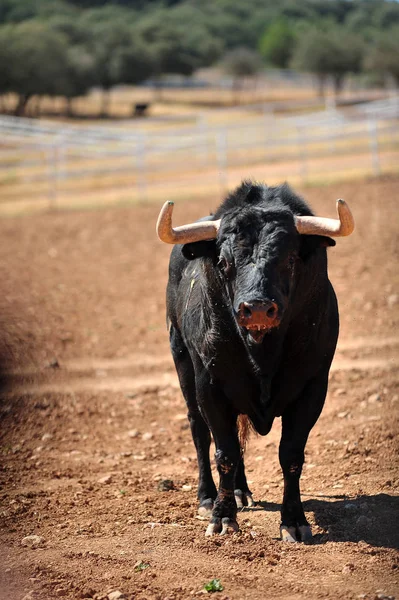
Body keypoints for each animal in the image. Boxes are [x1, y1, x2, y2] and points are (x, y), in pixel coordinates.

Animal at [162, 180, 354, 540]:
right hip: (182, 364)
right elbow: (223, 452)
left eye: (290, 258)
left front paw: (294, 521)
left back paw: (241, 492)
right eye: (223, 262)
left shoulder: (313, 386)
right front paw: (222, 517)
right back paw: (208, 497)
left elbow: (290, 455)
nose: (258, 308)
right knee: (199, 431)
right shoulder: (210, 386)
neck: (262, 351)